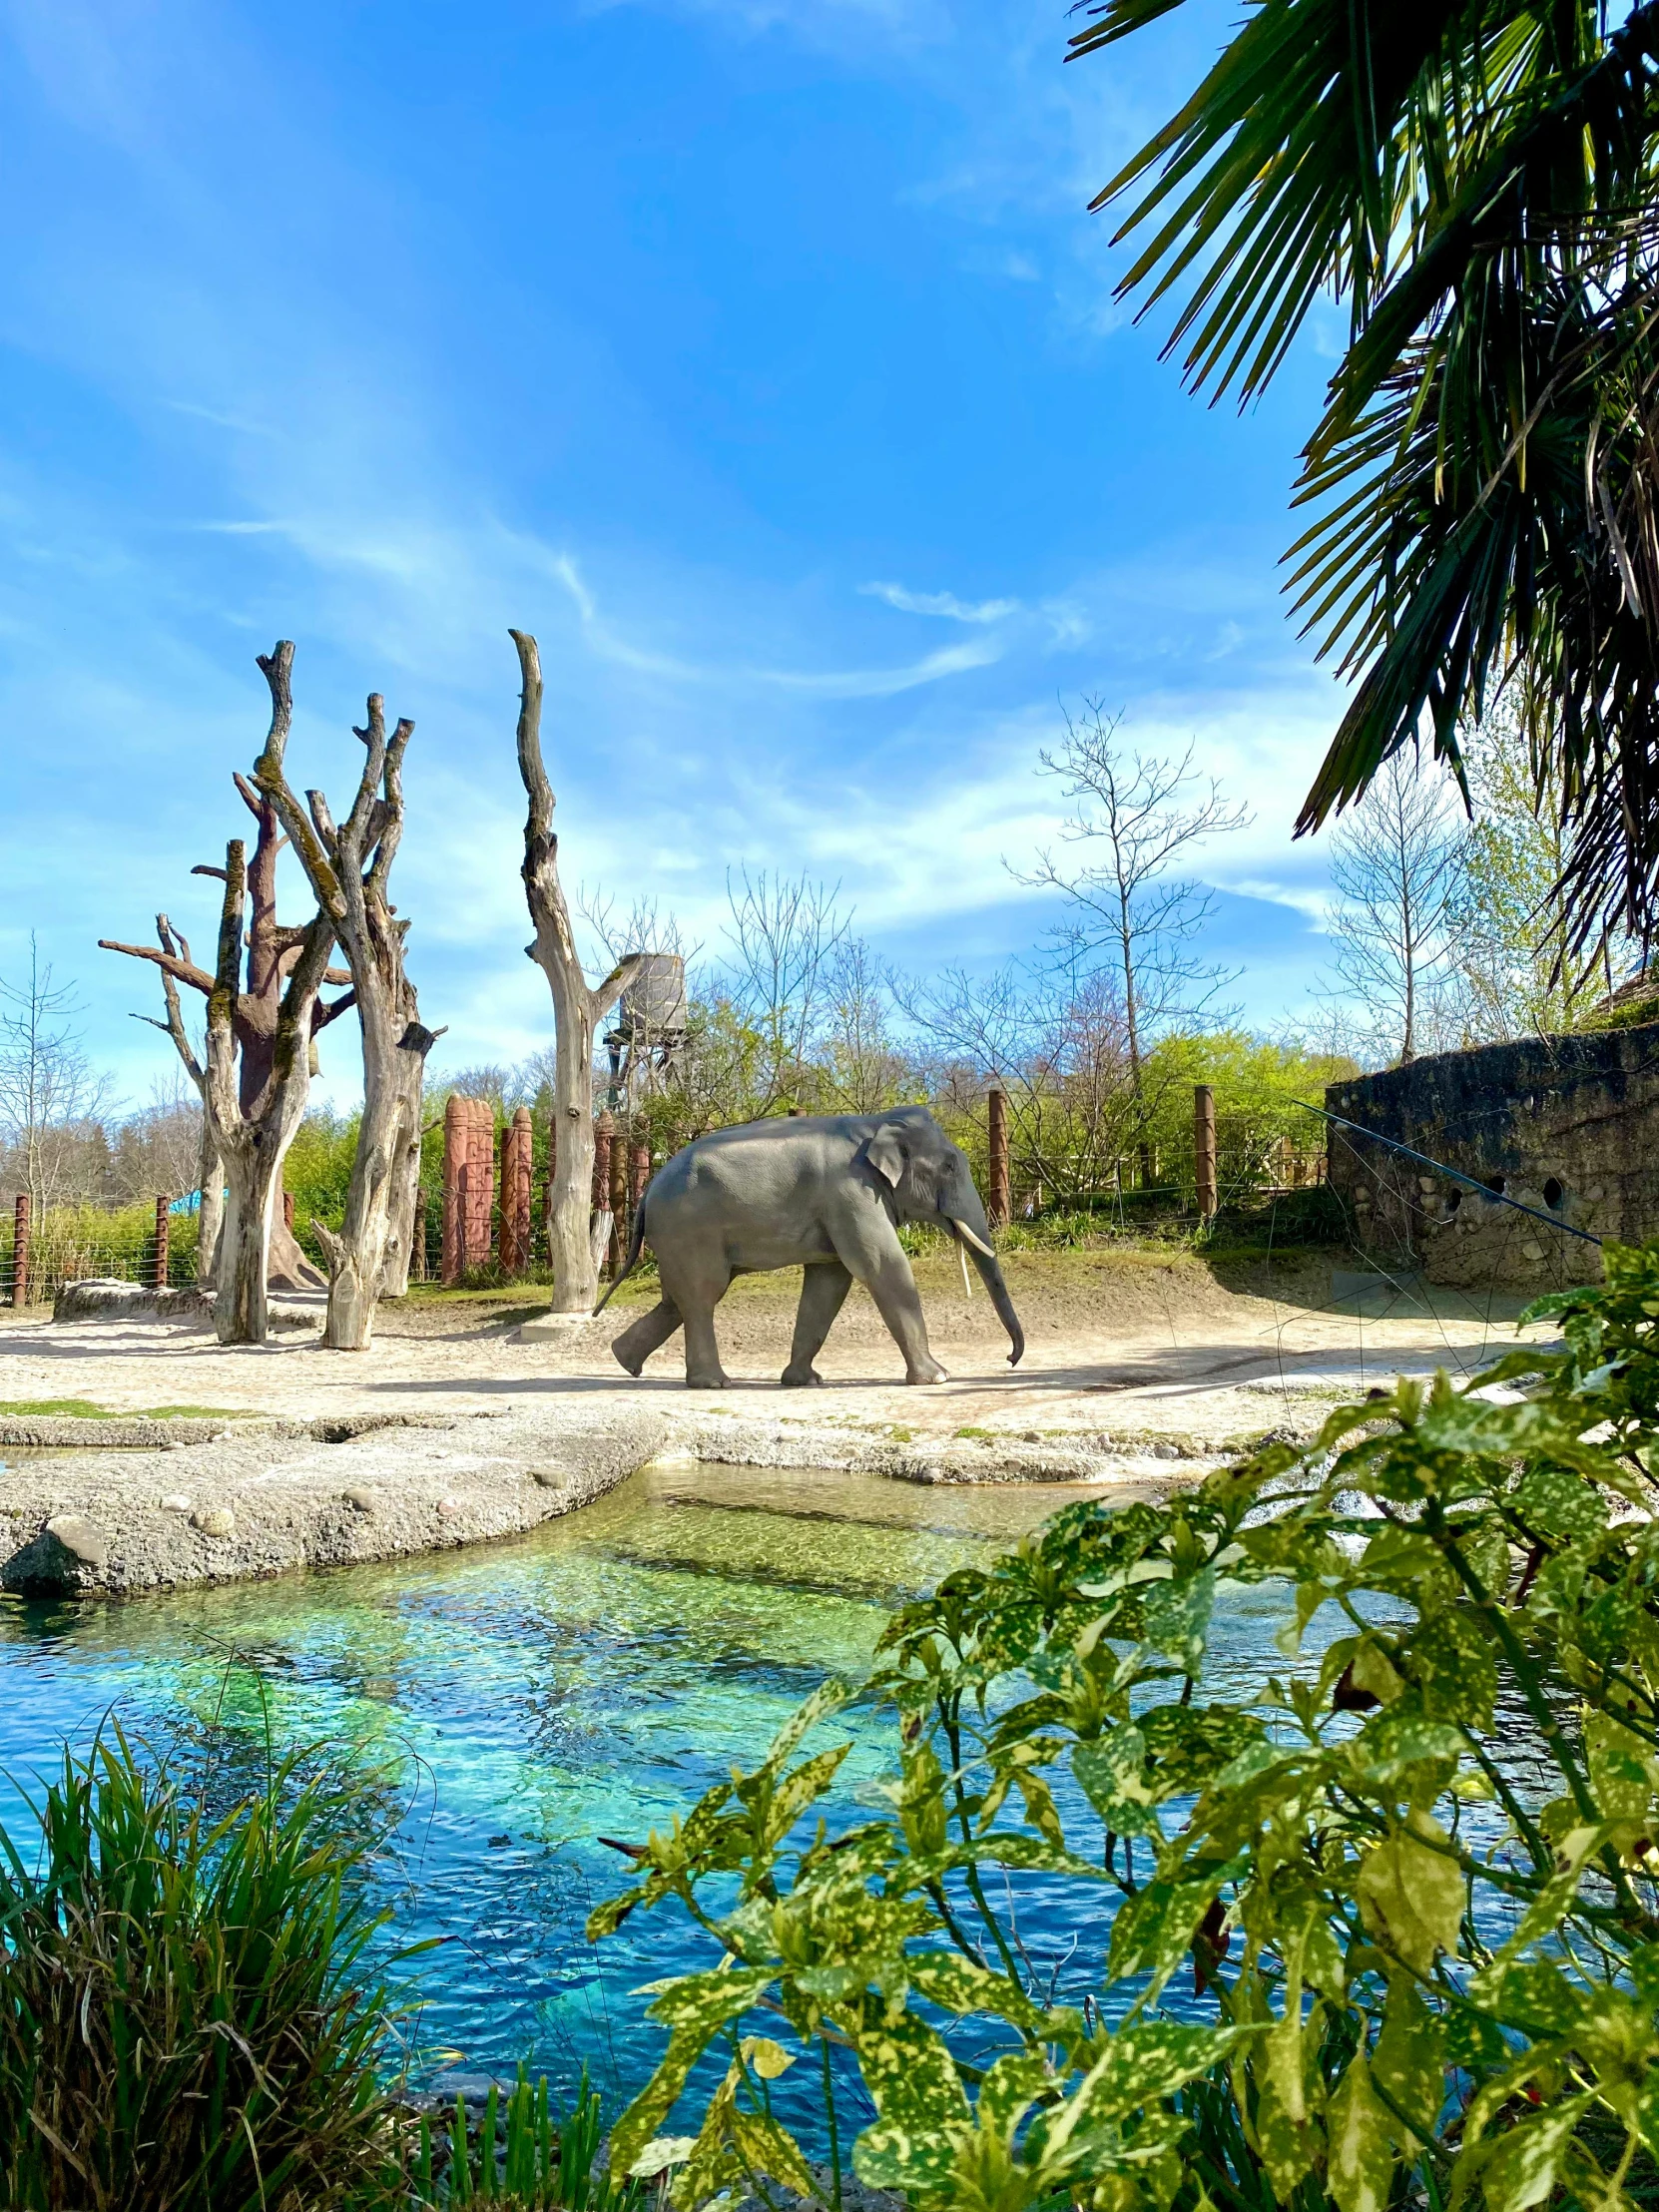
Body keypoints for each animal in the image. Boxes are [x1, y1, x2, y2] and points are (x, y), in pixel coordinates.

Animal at [597, 1101, 1026, 1388]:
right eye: (950, 1166)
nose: (1009, 1359)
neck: (874, 1122)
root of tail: (649, 1189)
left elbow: (829, 1282)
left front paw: (805, 1381)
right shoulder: (851, 1192)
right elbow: (881, 1266)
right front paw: (938, 1378)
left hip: (678, 1236)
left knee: (677, 1300)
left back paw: (625, 1361)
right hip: (689, 1228)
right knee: (704, 1295)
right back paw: (714, 1383)